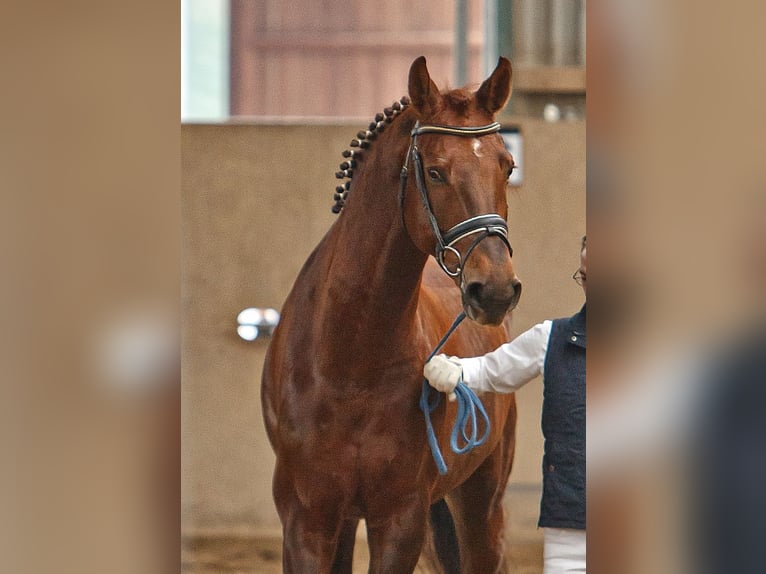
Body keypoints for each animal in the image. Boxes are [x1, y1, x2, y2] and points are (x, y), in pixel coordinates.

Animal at [262, 56, 520, 572]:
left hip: (480, 505)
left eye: (507, 166)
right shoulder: (307, 524)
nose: (496, 290)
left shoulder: (401, 521)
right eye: (436, 172)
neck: (350, 363)